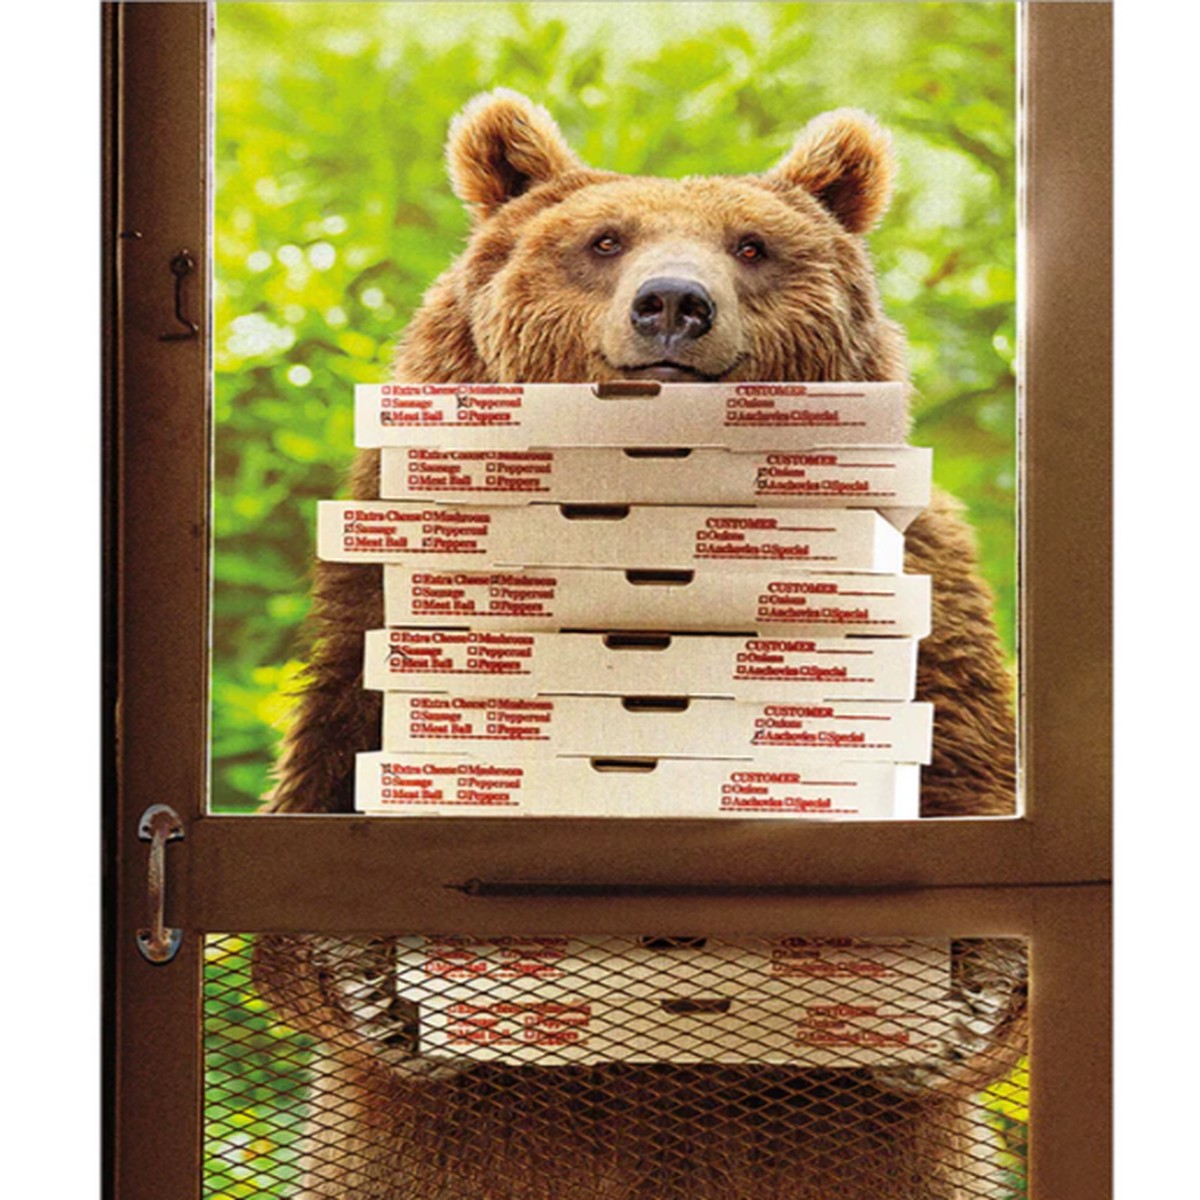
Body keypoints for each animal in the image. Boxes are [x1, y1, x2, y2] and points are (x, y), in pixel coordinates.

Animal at [253, 90, 1026, 1199]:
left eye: (750, 245)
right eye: (604, 240)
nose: (673, 304)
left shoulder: (923, 576)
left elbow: (956, 768)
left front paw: (955, 1002)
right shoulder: (389, 578)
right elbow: (339, 770)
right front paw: (376, 986)